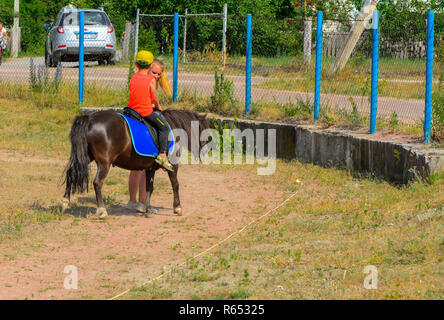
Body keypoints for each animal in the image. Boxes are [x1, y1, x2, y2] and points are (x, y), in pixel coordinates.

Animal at [62, 109, 212, 219]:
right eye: (206, 135)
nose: (206, 153)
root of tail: (90, 119)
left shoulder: (150, 168)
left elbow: (149, 187)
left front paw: (148, 208)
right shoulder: (173, 165)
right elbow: (175, 184)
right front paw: (177, 207)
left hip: (86, 157)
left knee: (71, 173)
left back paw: (65, 201)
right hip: (104, 163)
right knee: (97, 182)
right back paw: (102, 210)